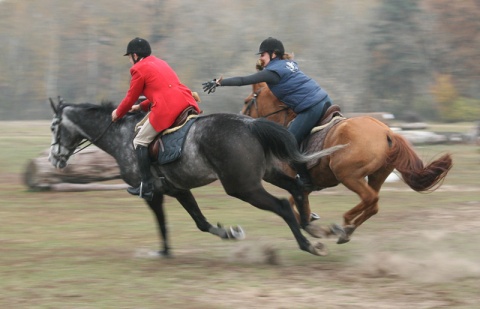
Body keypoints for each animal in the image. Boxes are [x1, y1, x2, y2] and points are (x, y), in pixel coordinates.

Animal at [246, 82, 452, 245]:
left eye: (247, 101)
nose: (243, 119)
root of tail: (387, 132)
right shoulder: (304, 185)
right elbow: (297, 204)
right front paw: (312, 221)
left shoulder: (295, 181)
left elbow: (297, 206)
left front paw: (314, 226)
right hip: (376, 175)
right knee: (374, 204)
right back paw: (347, 230)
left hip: (348, 175)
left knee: (369, 198)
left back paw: (344, 225)